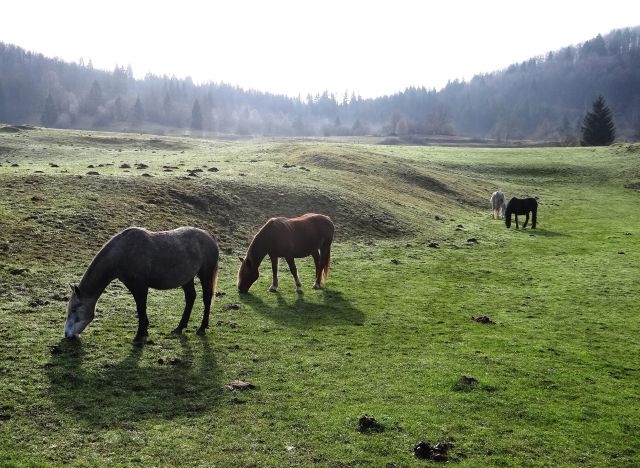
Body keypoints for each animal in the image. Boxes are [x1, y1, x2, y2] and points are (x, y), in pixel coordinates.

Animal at [64, 228, 220, 344]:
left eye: (74, 309)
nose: (66, 335)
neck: (123, 252)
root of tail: (209, 237)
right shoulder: (134, 286)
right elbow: (141, 309)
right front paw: (145, 330)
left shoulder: (140, 286)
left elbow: (140, 308)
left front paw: (139, 335)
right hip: (187, 279)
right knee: (190, 297)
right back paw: (180, 327)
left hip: (205, 274)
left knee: (206, 299)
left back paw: (202, 328)